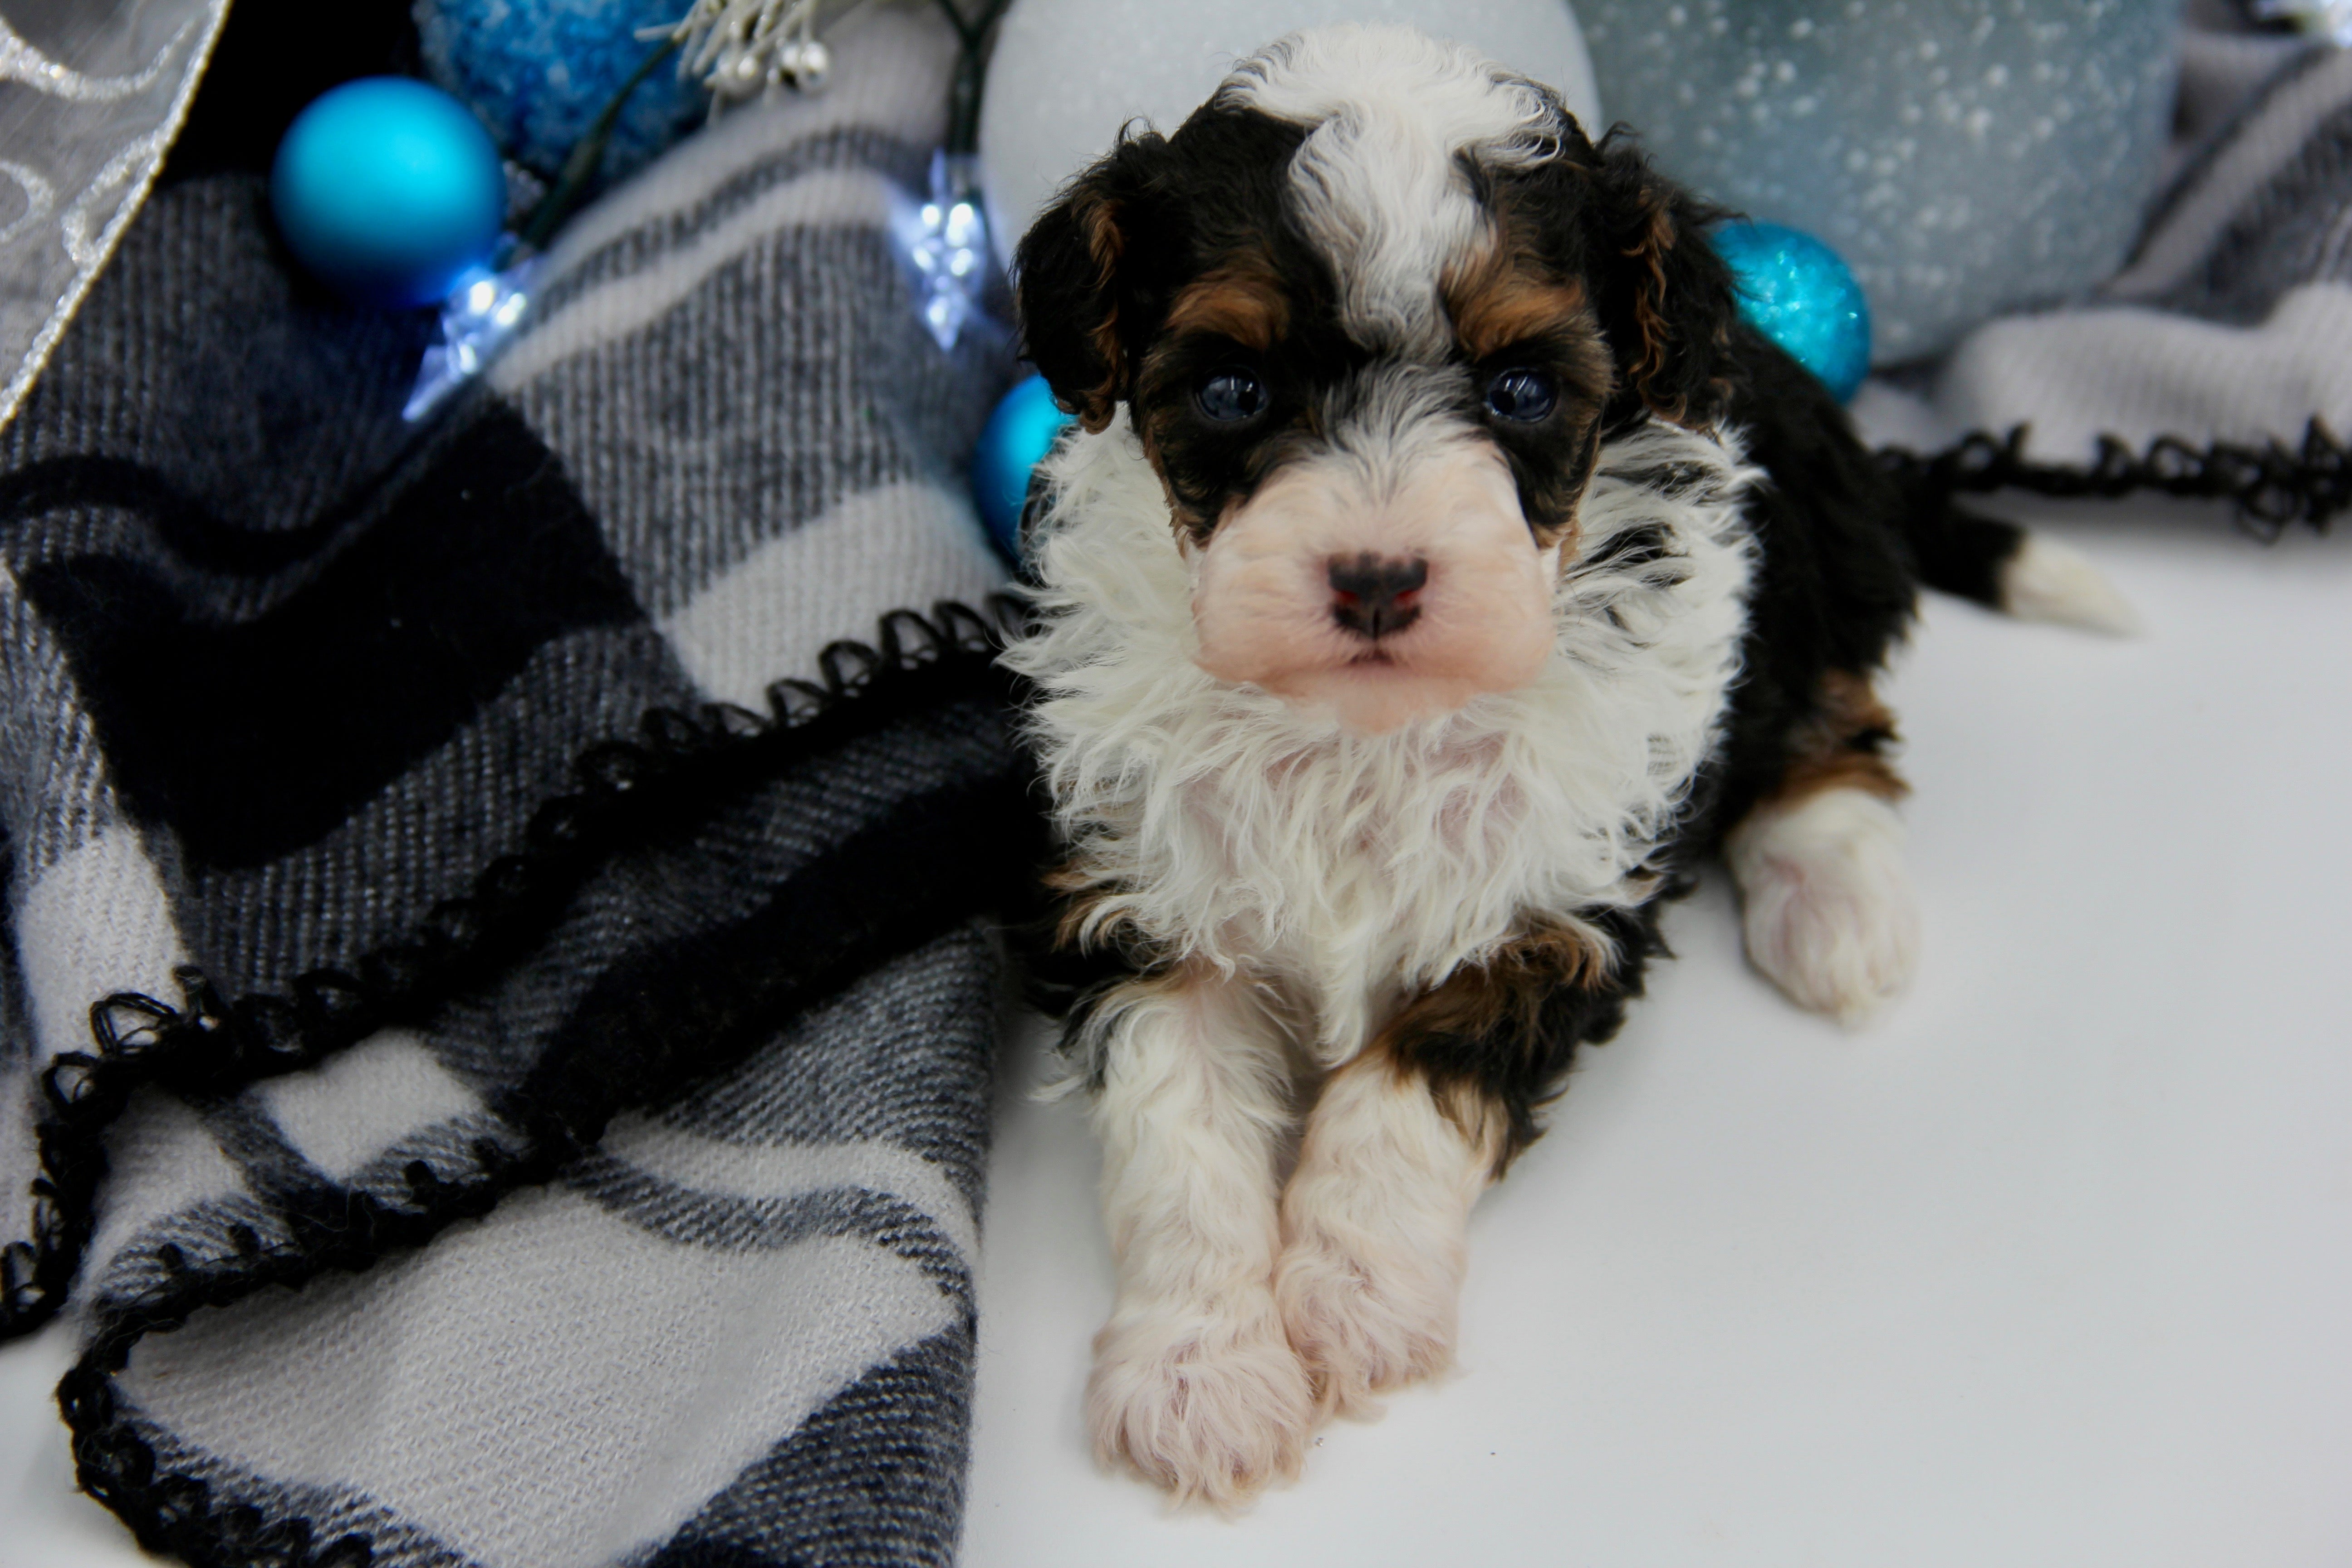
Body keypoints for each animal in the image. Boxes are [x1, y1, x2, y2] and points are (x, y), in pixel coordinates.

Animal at [1002, 24, 2126, 1514]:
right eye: (1234, 391)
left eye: (1521, 390)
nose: (1377, 578)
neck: (1365, 729)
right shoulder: (1137, 884)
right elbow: (1174, 1131)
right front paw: (1200, 1376)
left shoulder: (1554, 901)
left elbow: (1406, 1099)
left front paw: (1355, 1296)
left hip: (1807, 541)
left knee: (1831, 715)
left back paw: (1834, 902)